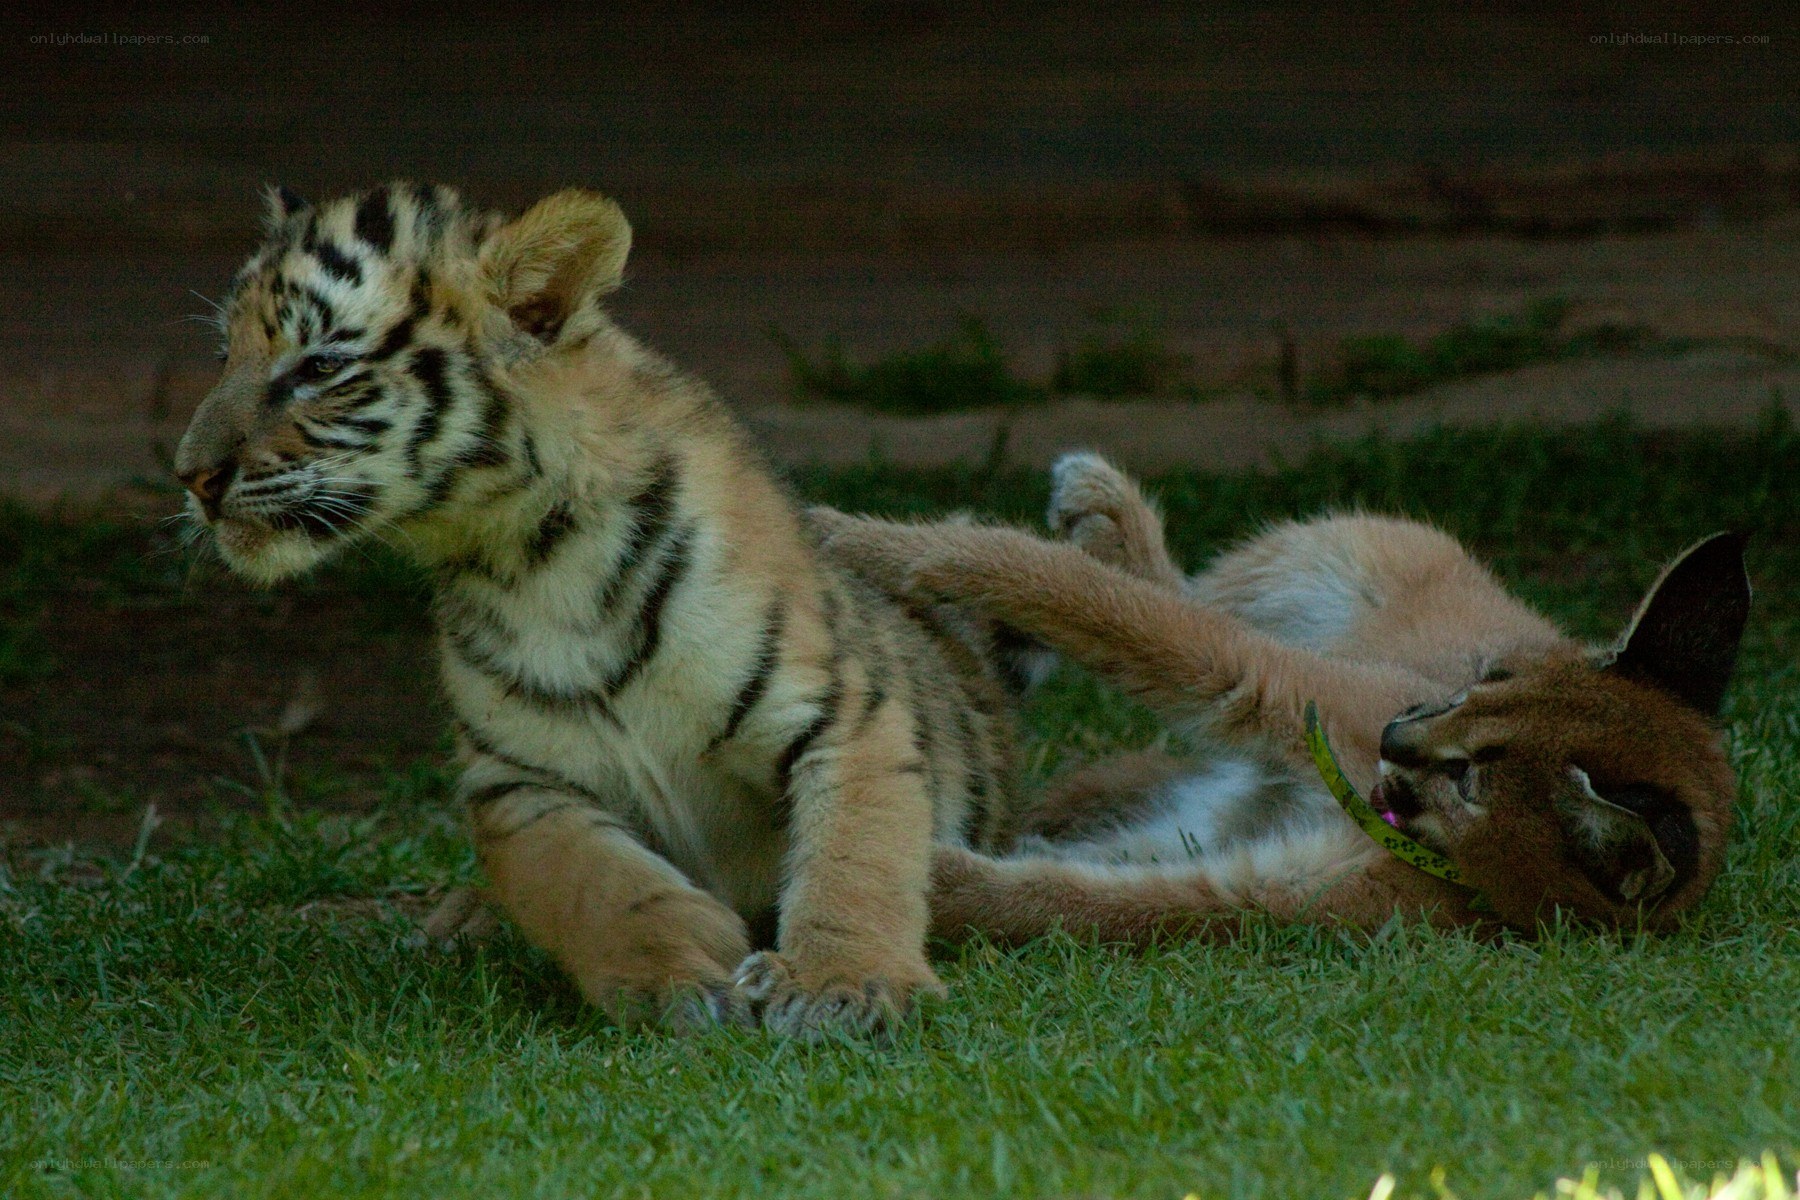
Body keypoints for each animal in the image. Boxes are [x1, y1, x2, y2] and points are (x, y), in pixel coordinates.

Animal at [173, 182, 1021, 1035]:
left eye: (321, 366)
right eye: (222, 357)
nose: (191, 477)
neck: (530, 557)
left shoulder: (842, 712)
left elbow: (855, 857)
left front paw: (839, 985)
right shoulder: (521, 780)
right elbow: (598, 886)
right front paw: (679, 979)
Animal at [812, 452, 1750, 942]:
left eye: (1472, 782)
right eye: (1486, 679)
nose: (1394, 737)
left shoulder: (1267, 894)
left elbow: (1085, 898)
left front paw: (923, 875)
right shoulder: (1281, 677)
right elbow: (1093, 600)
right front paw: (844, 536)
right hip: (1335, 554)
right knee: (1184, 591)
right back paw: (1106, 515)